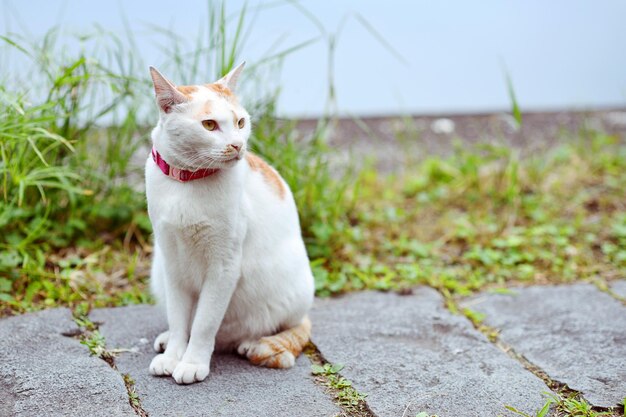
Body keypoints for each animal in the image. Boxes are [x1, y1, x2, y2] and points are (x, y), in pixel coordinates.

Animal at [145, 62, 312, 384]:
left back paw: (252, 342)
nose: (237, 145)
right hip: (158, 272)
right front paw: (173, 355)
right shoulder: (172, 263)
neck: (188, 182)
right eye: (209, 125)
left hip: (293, 290)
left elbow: (204, 323)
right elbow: (178, 316)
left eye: (241, 122)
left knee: (287, 327)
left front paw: (193, 361)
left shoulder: (223, 267)